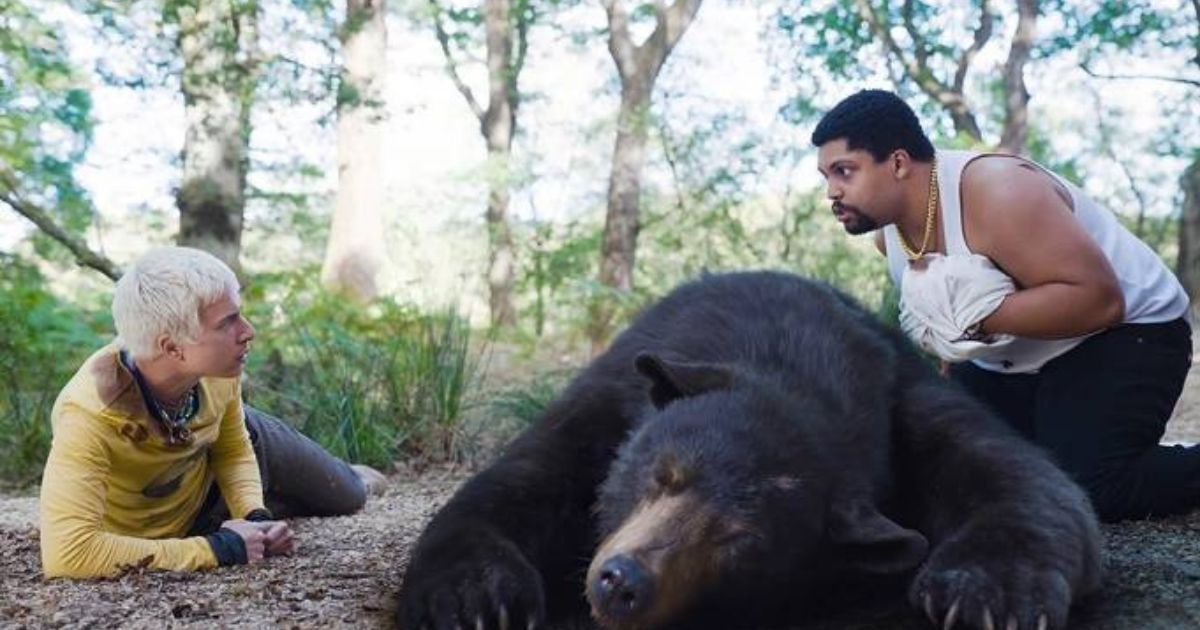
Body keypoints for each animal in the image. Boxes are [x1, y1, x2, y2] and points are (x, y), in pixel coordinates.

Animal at [398, 272, 1099, 628]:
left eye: (740, 540)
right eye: (662, 474)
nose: (622, 583)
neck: (791, 354)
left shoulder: (906, 395)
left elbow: (1024, 480)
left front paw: (988, 590)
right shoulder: (614, 391)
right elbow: (521, 480)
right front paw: (475, 597)